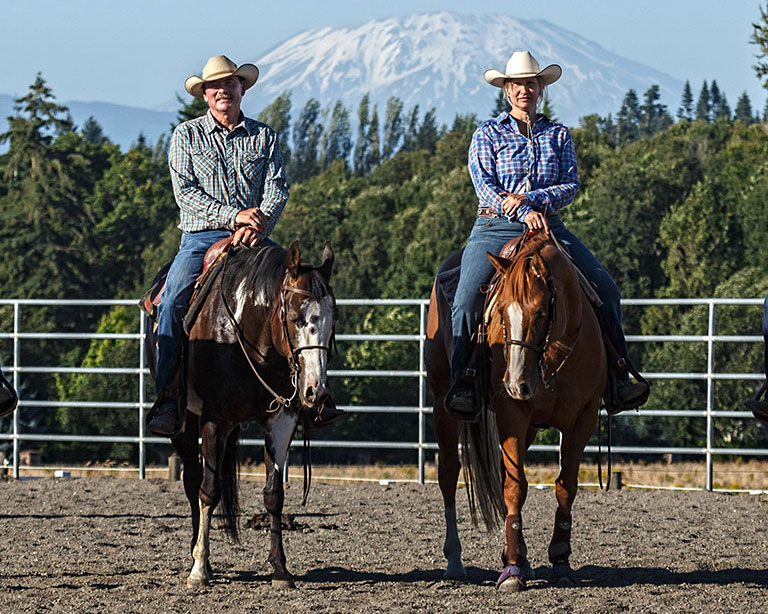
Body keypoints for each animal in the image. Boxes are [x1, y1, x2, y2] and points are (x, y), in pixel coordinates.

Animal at [146, 242, 334, 592]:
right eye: (295, 317)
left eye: (335, 319)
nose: (315, 391)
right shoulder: (214, 421)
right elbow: (209, 490)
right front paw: (199, 569)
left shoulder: (281, 419)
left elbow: (274, 494)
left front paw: (280, 569)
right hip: (185, 422)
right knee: (193, 481)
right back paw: (197, 555)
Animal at [426, 230, 608, 592]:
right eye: (499, 312)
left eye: (541, 313)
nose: (515, 383)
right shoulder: (511, 412)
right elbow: (514, 487)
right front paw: (512, 570)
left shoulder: (583, 417)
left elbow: (565, 485)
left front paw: (559, 560)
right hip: (442, 402)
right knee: (449, 473)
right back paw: (455, 561)